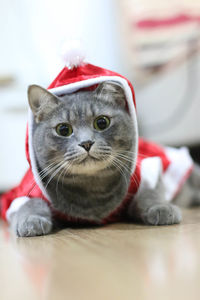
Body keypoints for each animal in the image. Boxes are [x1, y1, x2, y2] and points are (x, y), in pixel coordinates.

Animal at [8, 81, 200, 237]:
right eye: (63, 129)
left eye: (102, 122)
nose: (86, 143)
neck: (92, 187)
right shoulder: (26, 190)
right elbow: (29, 203)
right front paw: (31, 220)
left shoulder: (144, 173)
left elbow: (150, 192)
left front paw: (161, 207)